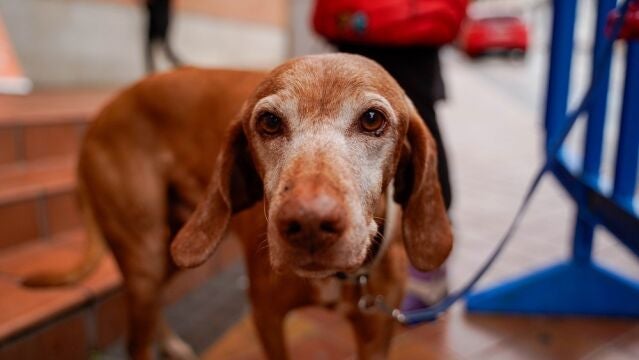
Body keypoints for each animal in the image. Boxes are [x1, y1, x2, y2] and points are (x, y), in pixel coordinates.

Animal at [26, 54, 456, 360]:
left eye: (371, 119)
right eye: (269, 122)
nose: (309, 224)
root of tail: (100, 116)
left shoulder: (375, 336)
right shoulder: (265, 317)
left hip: (174, 249)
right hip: (146, 251)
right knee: (136, 341)